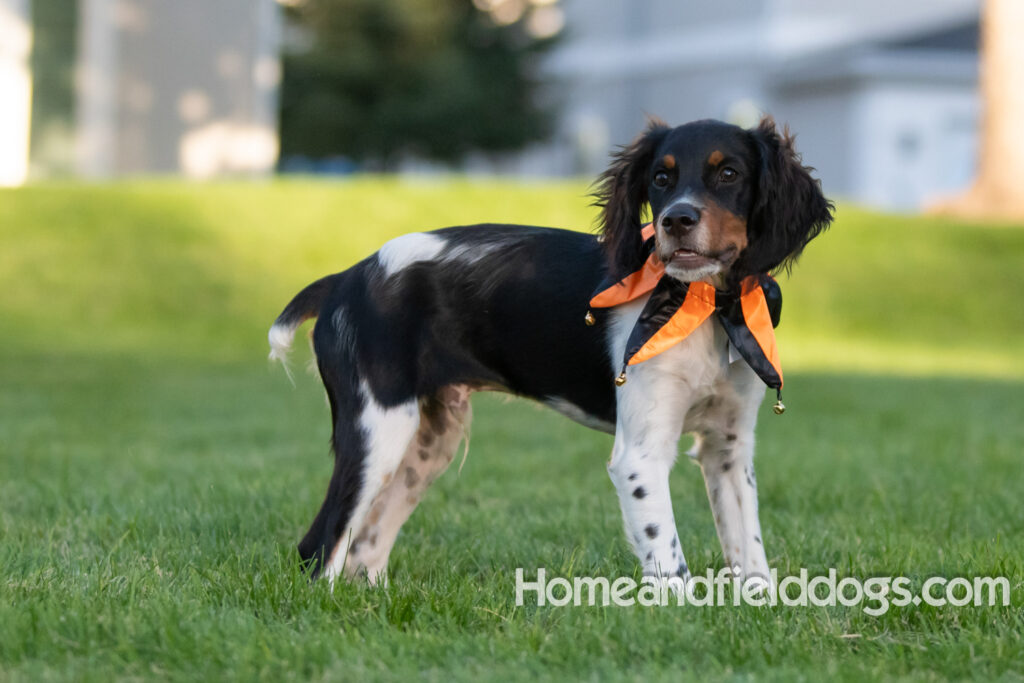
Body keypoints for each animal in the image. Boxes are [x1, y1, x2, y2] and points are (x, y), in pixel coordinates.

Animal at [270, 117, 831, 589]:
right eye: (661, 179)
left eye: (729, 173)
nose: (676, 220)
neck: (707, 305)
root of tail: (345, 277)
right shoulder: (640, 455)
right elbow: (669, 561)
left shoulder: (729, 447)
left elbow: (750, 554)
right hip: (377, 431)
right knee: (321, 547)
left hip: (428, 442)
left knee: (364, 550)